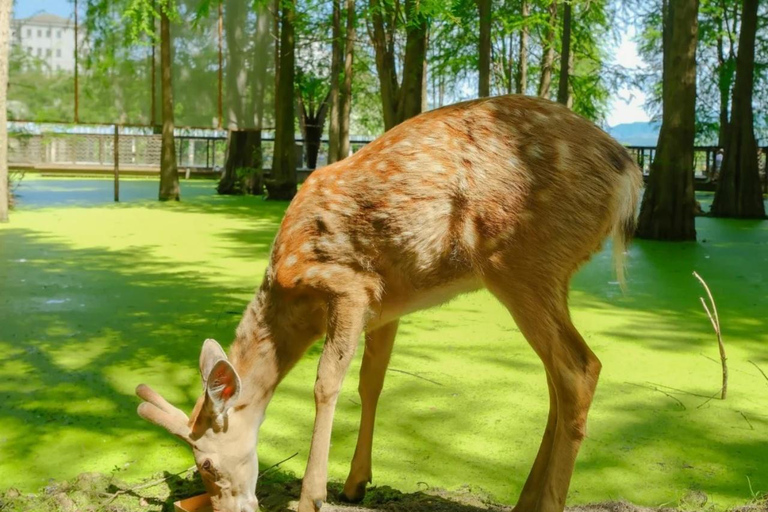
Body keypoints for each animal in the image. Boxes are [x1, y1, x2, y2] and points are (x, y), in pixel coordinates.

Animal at [136, 95, 642, 512]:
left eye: (205, 464)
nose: (228, 508)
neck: (292, 292)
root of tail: (629, 175)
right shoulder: (387, 307)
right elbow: (371, 382)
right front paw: (355, 483)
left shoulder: (349, 284)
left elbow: (327, 382)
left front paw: (312, 496)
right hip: (547, 275)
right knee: (559, 379)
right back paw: (524, 501)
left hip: (524, 264)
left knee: (580, 368)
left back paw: (547, 502)